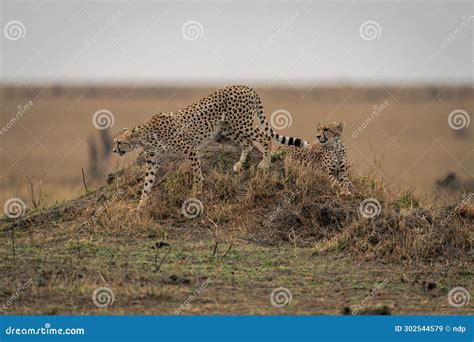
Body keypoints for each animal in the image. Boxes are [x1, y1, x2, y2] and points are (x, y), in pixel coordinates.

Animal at [113, 85, 310, 206]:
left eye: (119, 142)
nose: (114, 150)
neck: (145, 137)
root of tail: (245, 86)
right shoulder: (153, 161)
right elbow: (147, 183)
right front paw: (140, 205)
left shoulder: (190, 148)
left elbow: (196, 172)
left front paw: (196, 190)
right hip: (228, 128)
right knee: (247, 142)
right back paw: (240, 164)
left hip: (241, 122)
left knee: (264, 137)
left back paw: (265, 163)